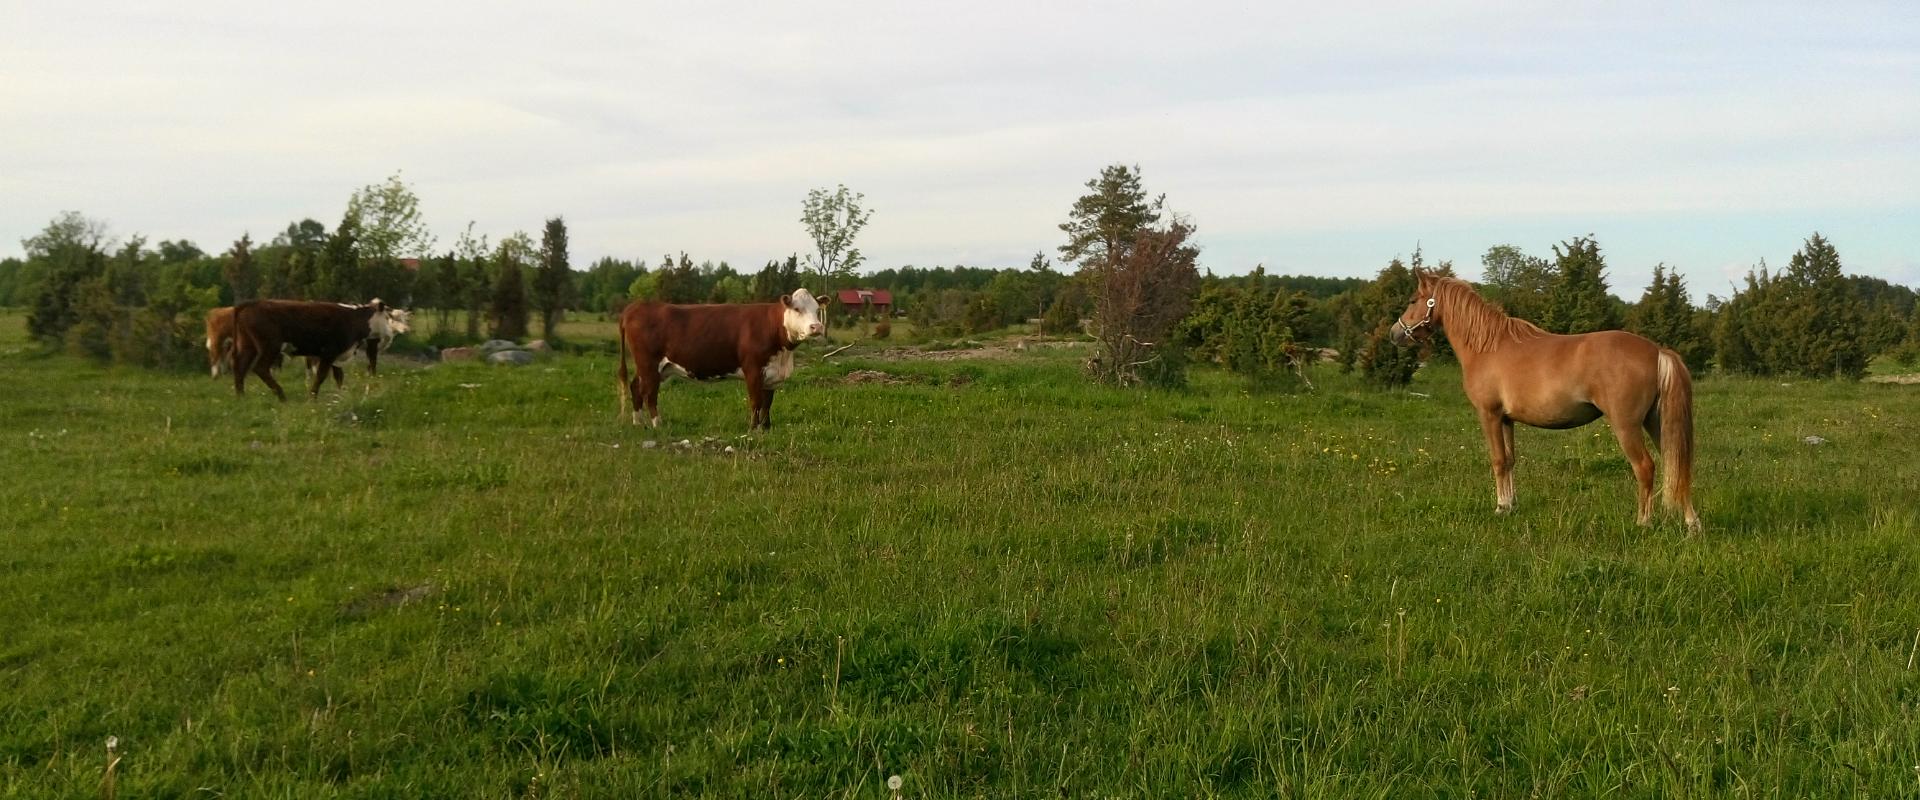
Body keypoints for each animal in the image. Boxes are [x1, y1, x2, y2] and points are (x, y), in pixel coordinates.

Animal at [228, 299, 401, 399]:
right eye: (388, 317)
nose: (391, 334)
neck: (354, 319)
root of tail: (250, 304)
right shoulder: (329, 352)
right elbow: (321, 376)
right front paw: (313, 397)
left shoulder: (334, 356)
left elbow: (338, 376)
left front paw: (339, 394)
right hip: (270, 346)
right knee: (260, 368)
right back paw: (281, 395)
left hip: (248, 345)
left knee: (240, 367)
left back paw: (241, 396)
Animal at [614, 289, 825, 429]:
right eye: (797, 309)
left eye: (817, 309)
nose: (817, 327)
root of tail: (636, 306)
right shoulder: (753, 369)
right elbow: (756, 401)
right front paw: (753, 429)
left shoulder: (771, 373)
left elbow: (767, 403)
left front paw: (766, 428)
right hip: (649, 363)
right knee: (650, 392)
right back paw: (658, 424)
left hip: (653, 367)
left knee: (636, 387)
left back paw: (638, 422)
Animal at [1397, 272, 1697, 529]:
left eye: (1413, 300)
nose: (1395, 334)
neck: (1487, 346)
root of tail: (1657, 351)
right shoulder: (1507, 419)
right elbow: (1509, 460)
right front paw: (1511, 505)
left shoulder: (1489, 414)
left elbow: (1497, 460)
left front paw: (1500, 507)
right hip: (1657, 423)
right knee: (1677, 465)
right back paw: (1692, 524)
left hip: (1627, 426)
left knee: (1646, 467)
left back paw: (1643, 522)